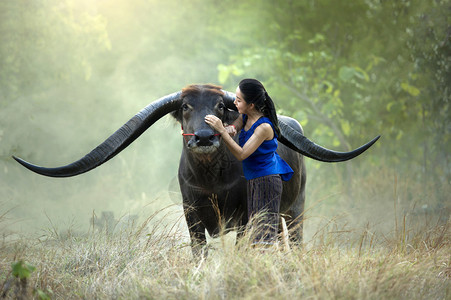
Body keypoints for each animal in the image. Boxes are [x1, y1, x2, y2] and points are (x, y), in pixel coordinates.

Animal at [12, 84, 380, 255]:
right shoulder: (192, 218)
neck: (212, 181)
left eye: (220, 105)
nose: (204, 136)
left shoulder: (244, 218)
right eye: (186, 106)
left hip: (295, 209)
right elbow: (198, 254)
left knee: (296, 240)